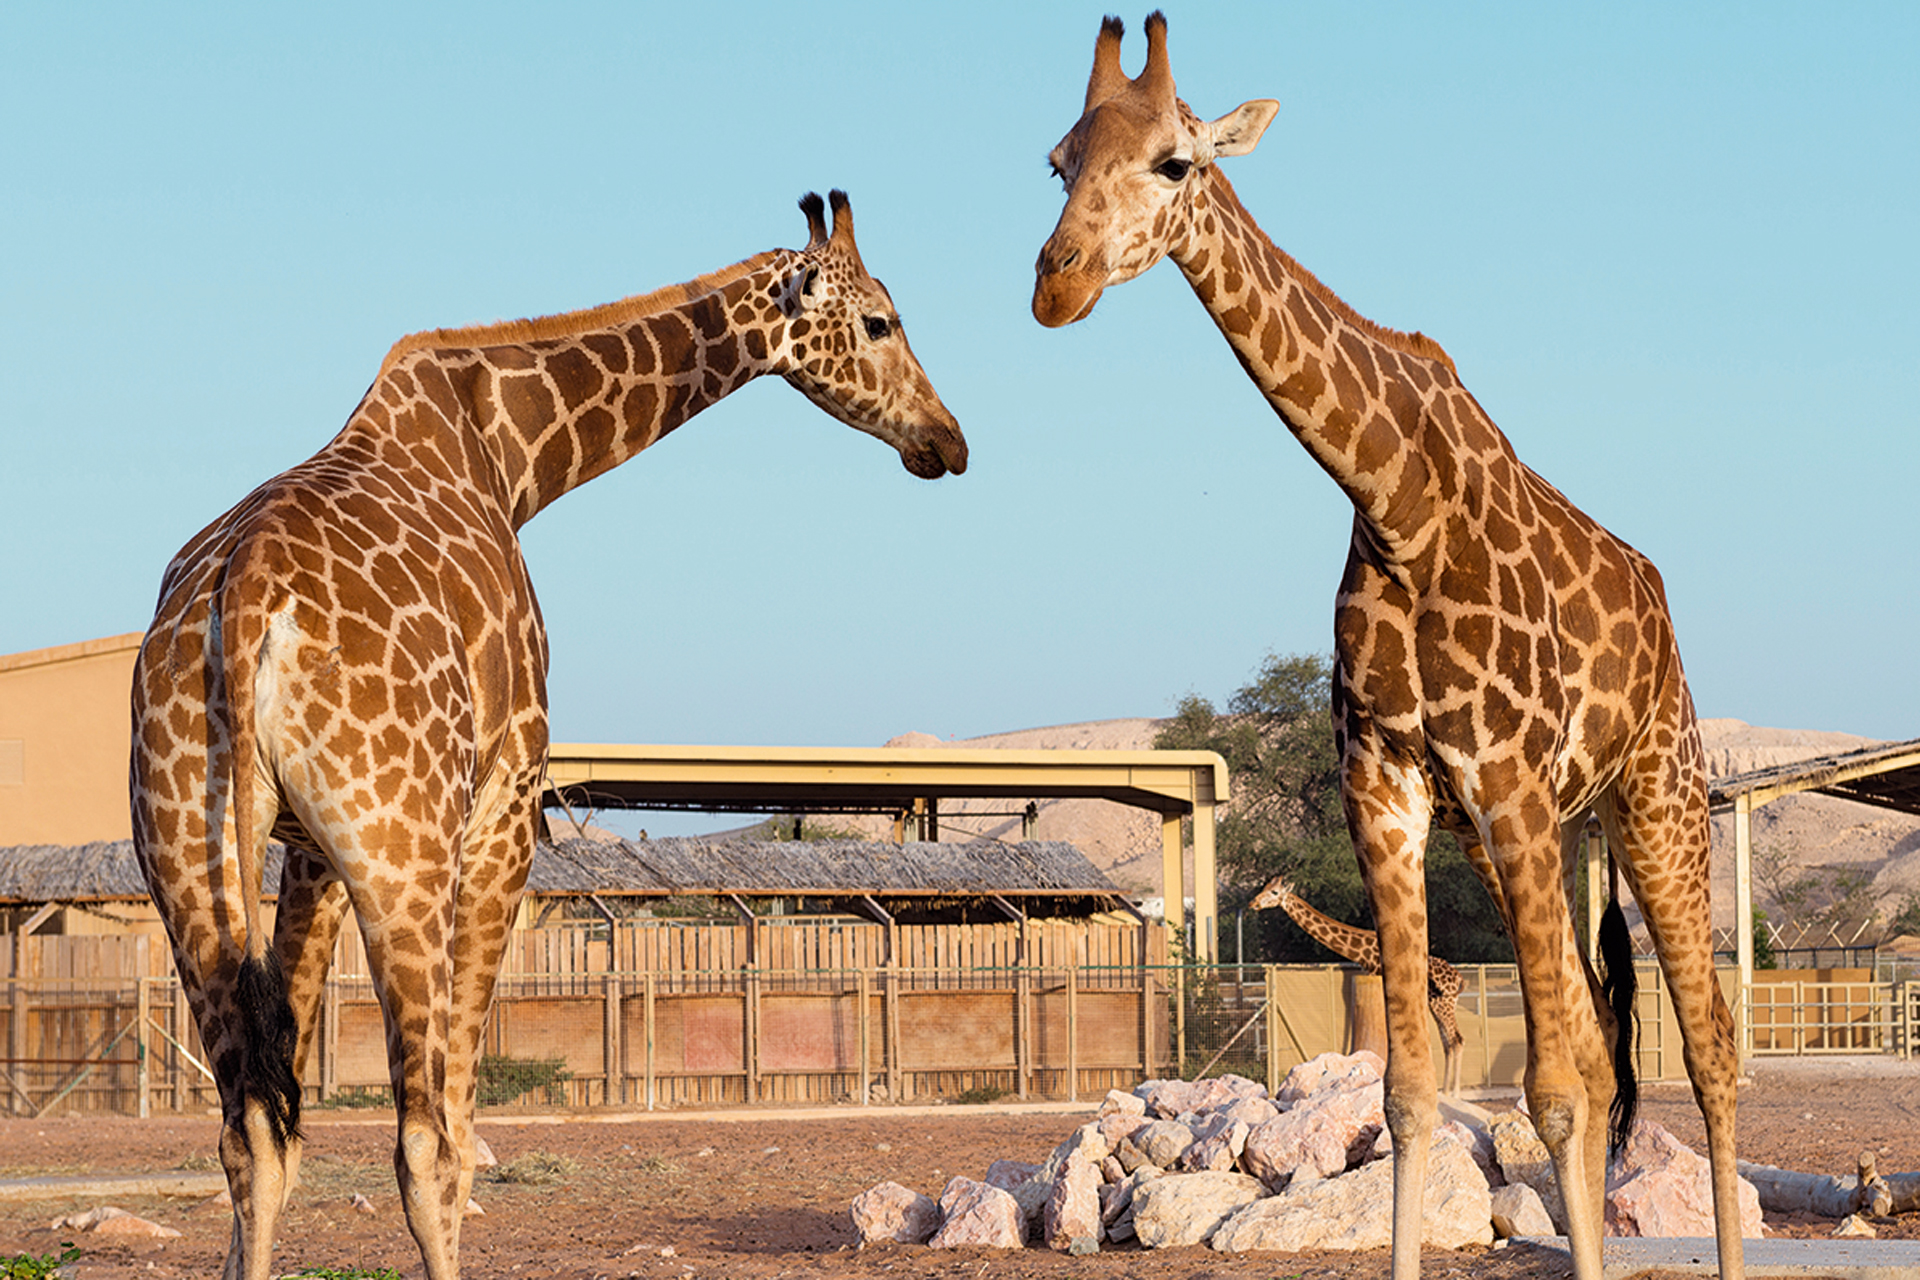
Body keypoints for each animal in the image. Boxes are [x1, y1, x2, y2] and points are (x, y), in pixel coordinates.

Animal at [127, 192, 967, 1280]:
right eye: (880, 321)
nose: (948, 439)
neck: (512, 450)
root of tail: (247, 599)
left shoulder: (307, 853)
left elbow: (288, 1128)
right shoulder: (507, 808)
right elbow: (455, 1130)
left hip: (185, 860)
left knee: (252, 1131)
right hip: (403, 854)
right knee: (423, 1138)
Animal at [1244, 875, 1466, 1097]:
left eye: (1274, 892)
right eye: (1265, 887)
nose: (1252, 903)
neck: (1363, 953)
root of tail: (1460, 980)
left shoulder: (1379, 978)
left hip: (1443, 1003)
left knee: (1456, 1039)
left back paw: (1454, 1093)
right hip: (1436, 1002)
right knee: (1447, 1042)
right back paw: (1446, 1092)